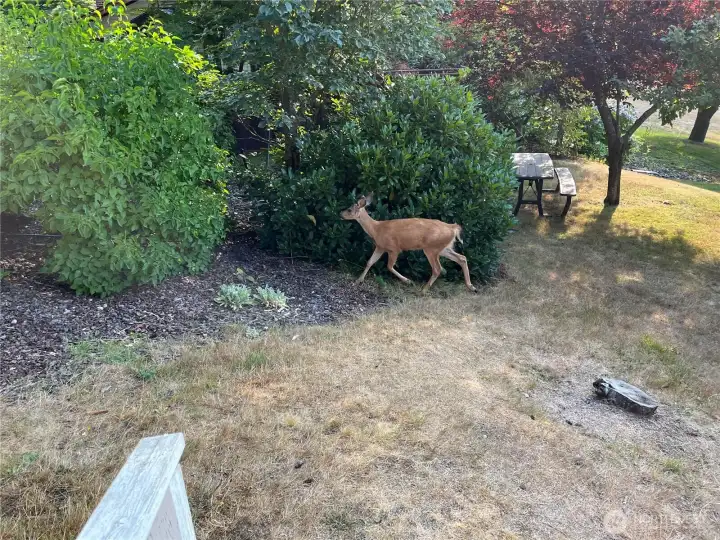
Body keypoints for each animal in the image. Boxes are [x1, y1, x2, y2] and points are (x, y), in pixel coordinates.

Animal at [340, 194, 477, 292]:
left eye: (349, 209)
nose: (340, 214)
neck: (376, 229)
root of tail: (452, 227)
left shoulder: (394, 248)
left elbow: (389, 266)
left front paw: (408, 281)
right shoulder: (380, 247)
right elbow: (369, 262)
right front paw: (358, 280)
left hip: (431, 248)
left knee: (438, 269)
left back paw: (423, 290)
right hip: (442, 247)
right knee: (461, 258)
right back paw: (471, 287)